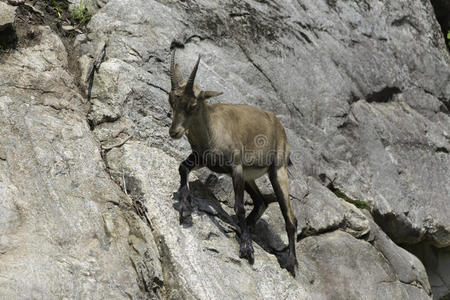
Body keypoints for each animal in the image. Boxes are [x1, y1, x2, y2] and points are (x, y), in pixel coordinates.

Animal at [167, 49, 298, 276]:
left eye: (192, 105)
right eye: (171, 101)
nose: (174, 132)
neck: (211, 131)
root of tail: (278, 124)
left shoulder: (235, 168)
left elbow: (239, 206)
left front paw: (247, 249)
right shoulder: (202, 158)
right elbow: (182, 167)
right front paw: (185, 207)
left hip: (277, 170)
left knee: (290, 217)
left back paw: (290, 263)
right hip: (249, 176)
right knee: (261, 201)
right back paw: (244, 228)